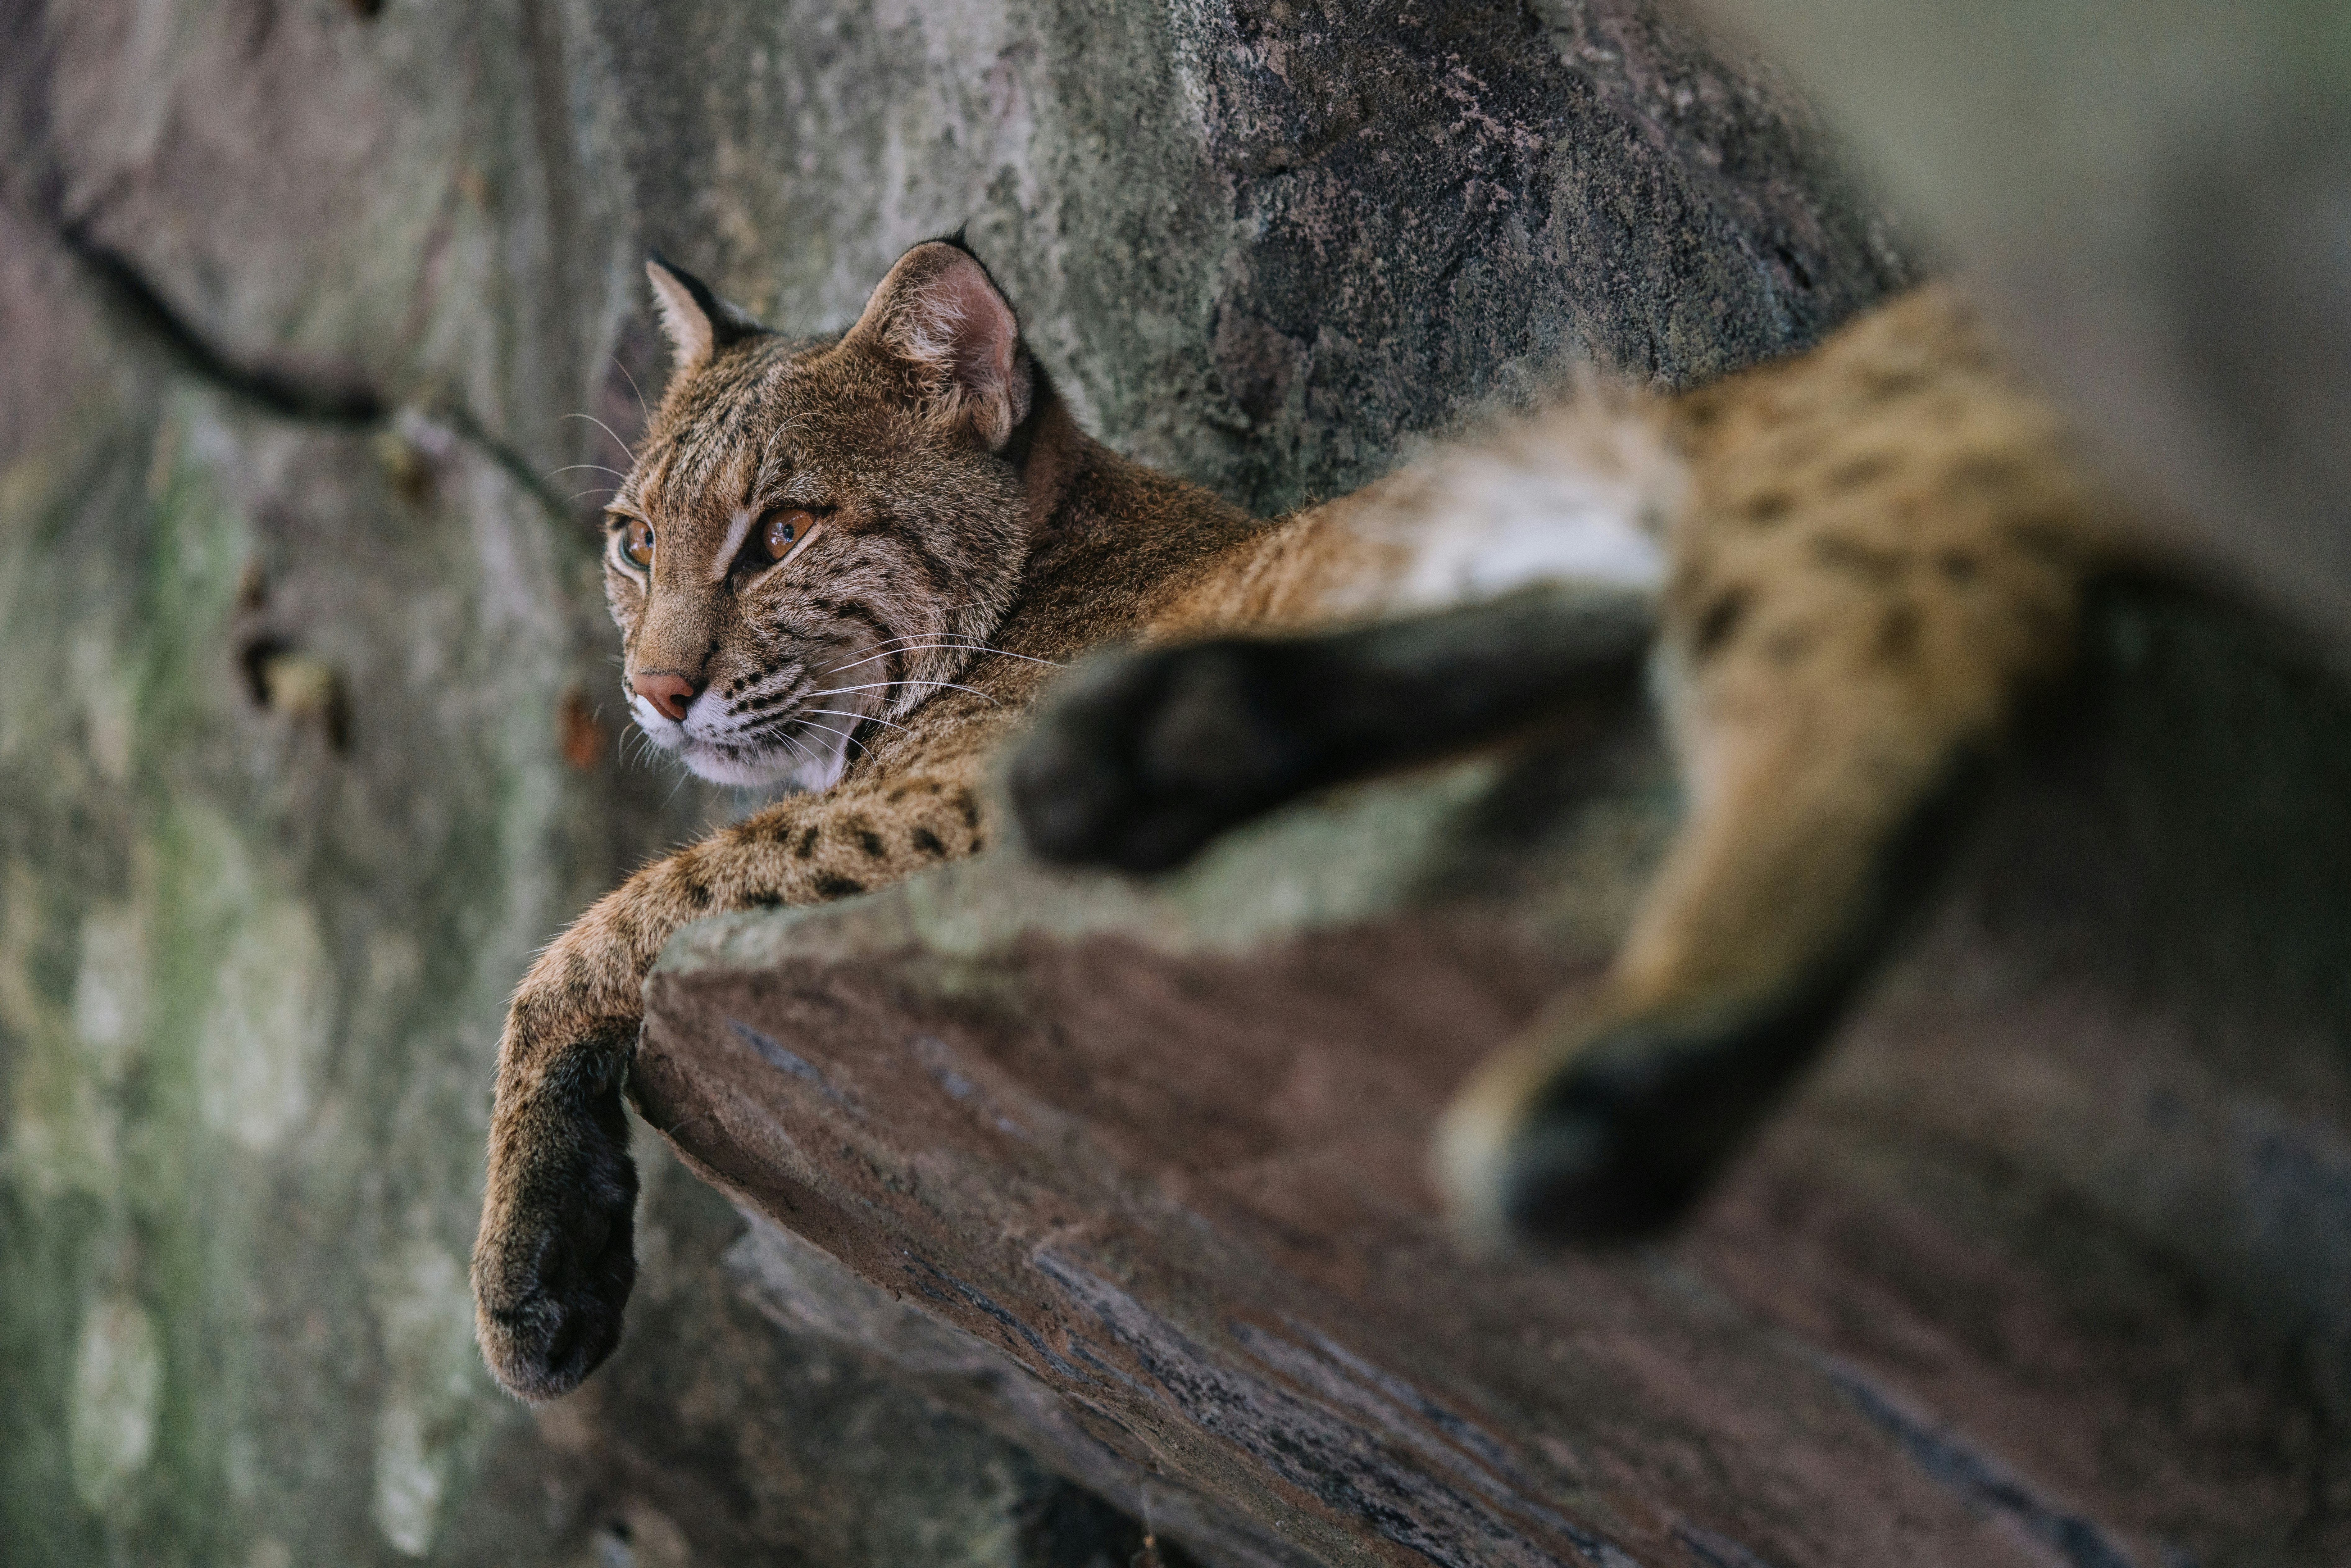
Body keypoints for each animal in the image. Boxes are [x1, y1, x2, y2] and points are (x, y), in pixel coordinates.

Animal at [468, 240, 2125, 1401]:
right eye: (634, 541)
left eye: (783, 535)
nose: (653, 691)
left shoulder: (932, 816)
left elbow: (600, 921)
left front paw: (526, 1274)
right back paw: (1194, 741)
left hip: (1825, 499)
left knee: (1854, 702)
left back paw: (1605, 1099)